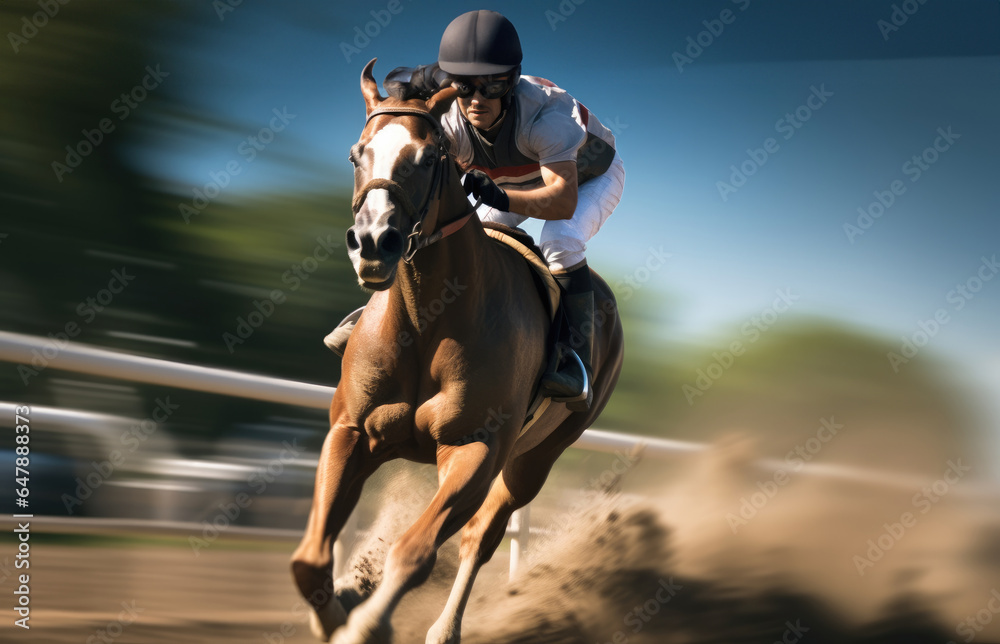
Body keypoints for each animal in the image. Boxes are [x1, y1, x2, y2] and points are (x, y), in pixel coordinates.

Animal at [290, 58, 625, 644]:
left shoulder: (476, 450)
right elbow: (309, 558)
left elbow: (415, 551)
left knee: (479, 538)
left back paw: (445, 629)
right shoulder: (351, 433)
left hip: (533, 460)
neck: (427, 320)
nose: (373, 242)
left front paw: (364, 625)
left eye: (426, 158)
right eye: (357, 153)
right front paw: (335, 613)